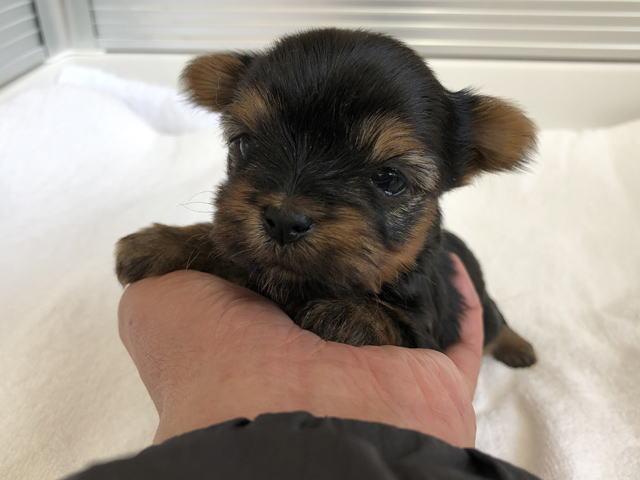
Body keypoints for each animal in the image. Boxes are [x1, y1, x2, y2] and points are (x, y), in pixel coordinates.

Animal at [116, 28, 537, 367]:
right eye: (245, 144)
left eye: (390, 179)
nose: (284, 220)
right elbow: (226, 244)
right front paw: (164, 241)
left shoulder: (427, 331)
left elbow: (394, 322)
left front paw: (351, 316)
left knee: (497, 321)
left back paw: (518, 347)